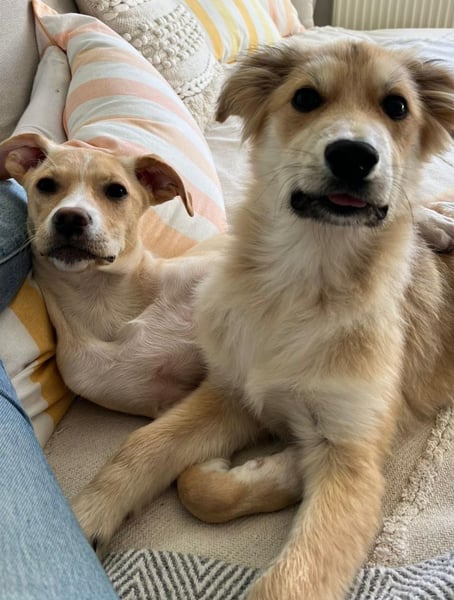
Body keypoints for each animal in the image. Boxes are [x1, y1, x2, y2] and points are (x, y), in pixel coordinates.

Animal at [67, 39, 454, 599]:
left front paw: (285, 467)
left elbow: (294, 579)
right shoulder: (231, 389)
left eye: (397, 107)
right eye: (306, 98)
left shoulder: (353, 457)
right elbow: (148, 453)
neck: (306, 280)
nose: (353, 155)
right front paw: (82, 520)